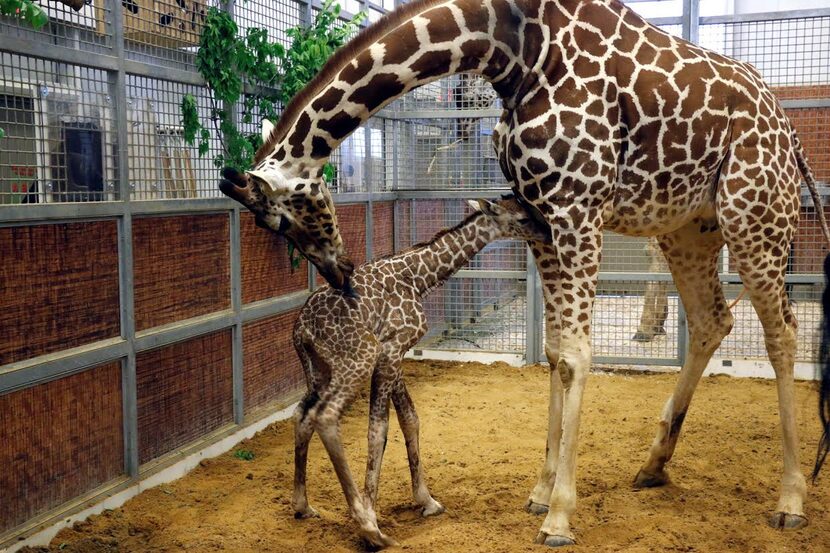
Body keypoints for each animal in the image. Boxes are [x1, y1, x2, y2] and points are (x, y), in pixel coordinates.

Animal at [292, 195, 552, 548]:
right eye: (524, 218)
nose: (548, 234)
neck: (418, 276)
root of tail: (302, 329)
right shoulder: (389, 349)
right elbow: (378, 430)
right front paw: (372, 516)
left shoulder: (395, 353)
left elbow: (410, 419)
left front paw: (427, 501)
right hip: (357, 358)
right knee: (326, 415)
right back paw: (368, 526)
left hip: (318, 369)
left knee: (302, 414)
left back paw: (303, 506)